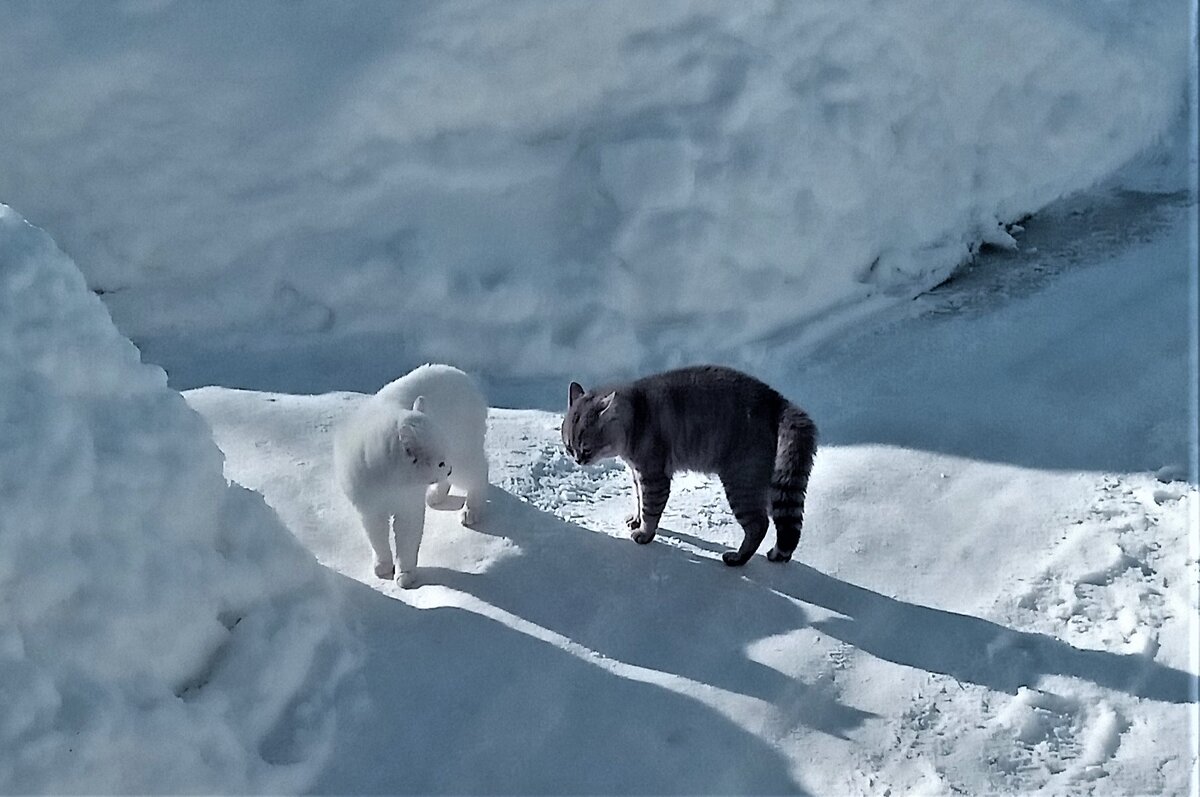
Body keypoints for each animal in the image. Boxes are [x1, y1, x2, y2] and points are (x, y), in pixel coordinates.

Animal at [333, 364, 487, 588]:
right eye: (440, 463)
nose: (447, 468)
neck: (390, 482)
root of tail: (463, 376)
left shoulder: (408, 508)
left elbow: (406, 544)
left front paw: (405, 575)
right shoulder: (370, 510)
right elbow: (378, 540)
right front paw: (382, 566)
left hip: (462, 460)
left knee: (481, 474)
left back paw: (471, 511)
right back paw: (436, 496)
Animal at [561, 364, 816, 564]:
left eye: (586, 448)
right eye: (569, 447)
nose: (578, 460)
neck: (637, 413)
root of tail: (777, 400)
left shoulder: (654, 476)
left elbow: (650, 509)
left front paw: (644, 534)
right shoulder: (638, 474)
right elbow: (639, 501)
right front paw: (636, 520)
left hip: (741, 482)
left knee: (758, 525)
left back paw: (737, 558)